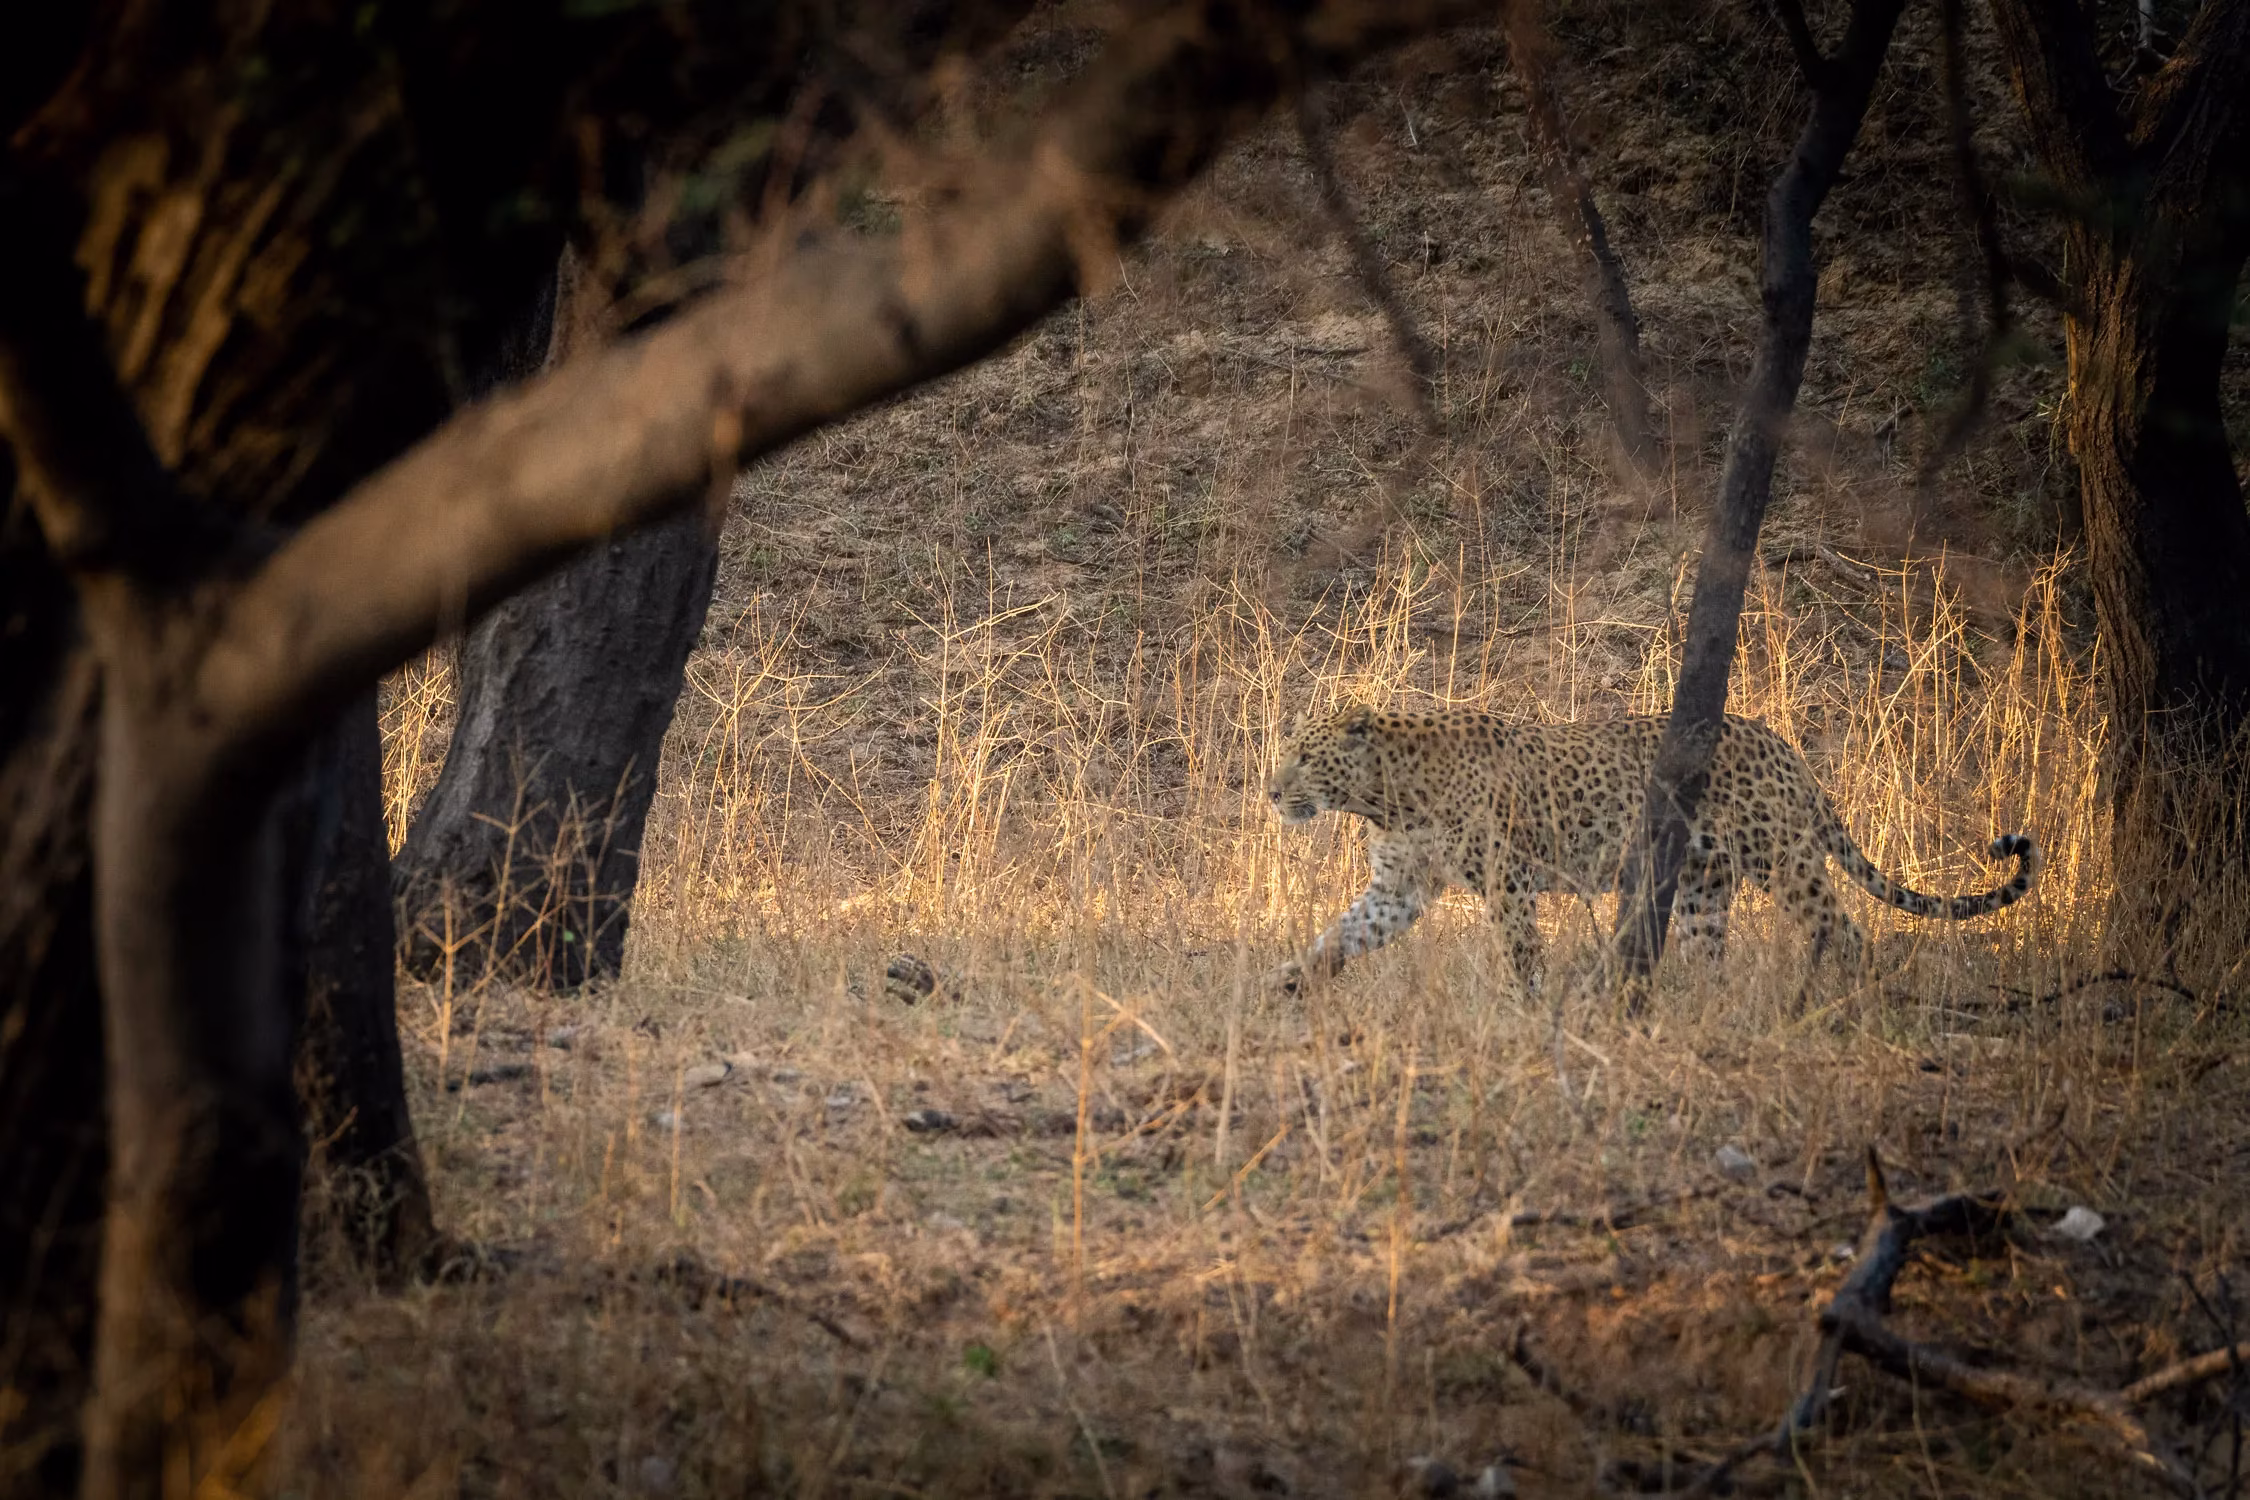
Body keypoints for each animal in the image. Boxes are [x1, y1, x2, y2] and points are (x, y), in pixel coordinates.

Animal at [1264, 703, 2040, 993]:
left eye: (1304, 758)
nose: (1271, 792)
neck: (1385, 796)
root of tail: (1785, 746)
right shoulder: (1398, 889)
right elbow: (1343, 933)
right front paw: (1288, 981)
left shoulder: (1509, 878)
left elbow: (1521, 951)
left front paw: (1525, 1007)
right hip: (1703, 884)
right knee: (1710, 951)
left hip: (1784, 859)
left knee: (1845, 928)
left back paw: (1854, 1000)